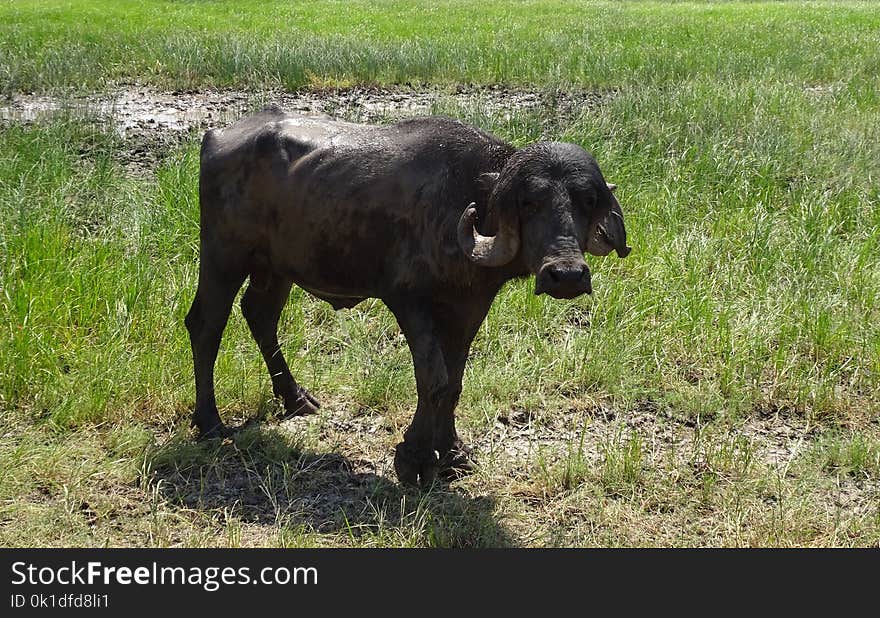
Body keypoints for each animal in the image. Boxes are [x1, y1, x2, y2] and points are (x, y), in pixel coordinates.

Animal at [186, 110, 628, 486]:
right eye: (528, 202)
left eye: (587, 200)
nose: (565, 275)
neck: (465, 200)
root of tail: (217, 136)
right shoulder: (408, 301)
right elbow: (432, 379)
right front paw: (414, 458)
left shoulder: (470, 307)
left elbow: (454, 382)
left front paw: (451, 452)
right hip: (223, 256)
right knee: (206, 323)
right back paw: (210, 421)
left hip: (276, 268)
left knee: (260, 314)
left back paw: (296, 398)